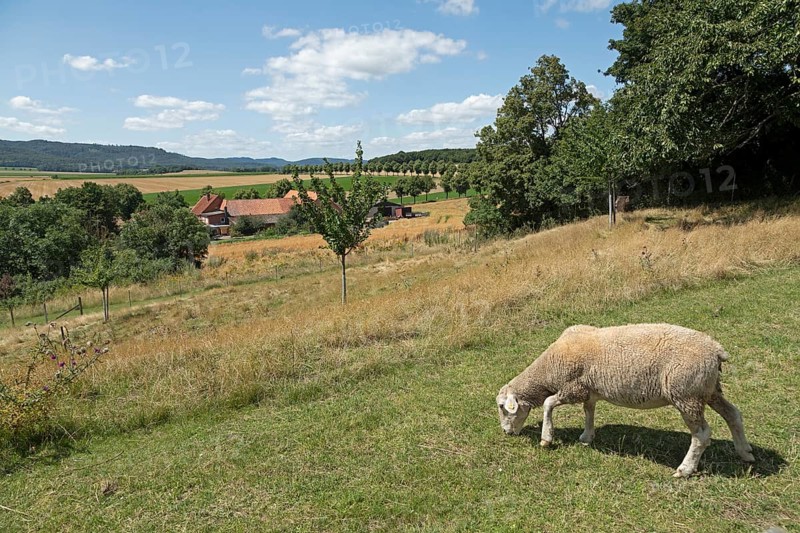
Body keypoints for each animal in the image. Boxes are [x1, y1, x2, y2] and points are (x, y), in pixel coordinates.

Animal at [496, 324, 754, 477]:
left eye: (502, 407)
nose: (506, 432)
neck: (548, 368)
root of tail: (716, 350)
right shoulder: (589, 390)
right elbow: (589, 411)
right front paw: (587, 436)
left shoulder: (573, 387)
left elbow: (549, 403)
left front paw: (546, 438)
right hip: (708, 391)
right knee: (734, 414)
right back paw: (745, 452)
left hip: (686, 394)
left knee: (701, 434)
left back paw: (685, 469)